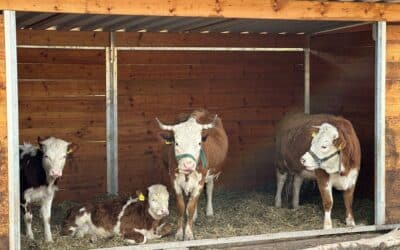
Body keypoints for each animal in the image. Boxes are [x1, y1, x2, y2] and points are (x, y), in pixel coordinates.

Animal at [156, 109, 228, 240]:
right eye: (176, 143)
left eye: (199, 143)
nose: (188, 165)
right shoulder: (174, 181)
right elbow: (181, 207)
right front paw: (179, 233)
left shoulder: (200, 182)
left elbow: (190, 207)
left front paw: (189, 233)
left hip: (210, 174)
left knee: (209, 189)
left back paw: (209, 211)